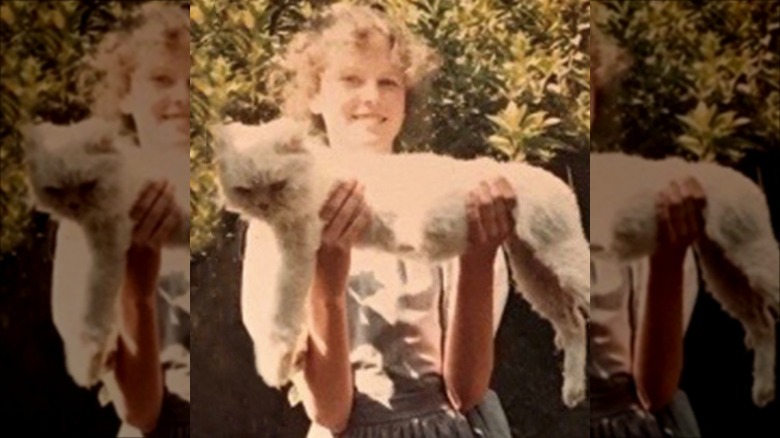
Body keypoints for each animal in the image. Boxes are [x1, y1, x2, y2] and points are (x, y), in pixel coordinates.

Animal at [213, 119, 592, 408]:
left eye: (277, 185)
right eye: (245, 190)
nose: (262, 207)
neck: (316, 172)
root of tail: (555, 180)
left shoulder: (298, 250)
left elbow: (279, 313)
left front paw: (275, 363)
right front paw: (295, 358)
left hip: (564, 267)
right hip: (534, 274)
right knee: (574, 324)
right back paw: (573, 391)